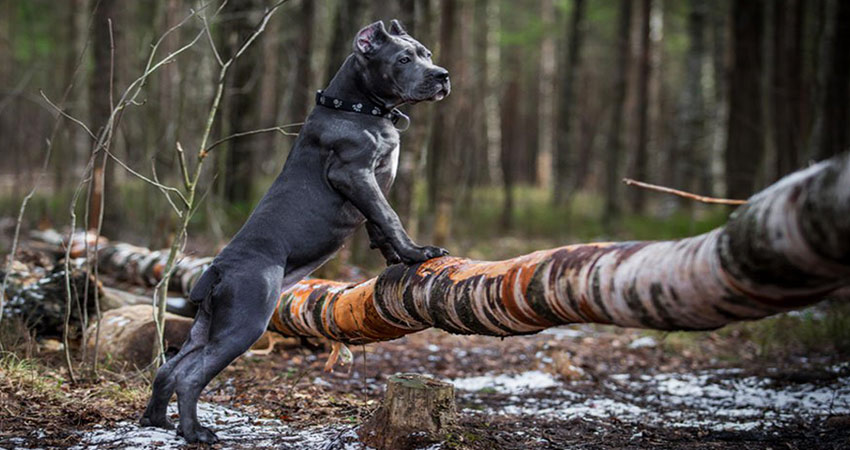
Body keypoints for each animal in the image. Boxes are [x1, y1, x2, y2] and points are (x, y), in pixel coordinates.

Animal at [139, 20, 450, 442]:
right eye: (403, 59)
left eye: (427, 54)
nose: (442, 75)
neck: (357, 107)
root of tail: (216, 271)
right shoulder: (355, 174)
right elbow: (389, 217)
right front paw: (419, 253)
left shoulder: (369, 186)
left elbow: (377, 226)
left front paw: (397, 260)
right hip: (244, 323)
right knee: (190, 376)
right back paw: (197, 433)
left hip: (206, 325)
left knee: (169, 368)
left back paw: (157, 422)